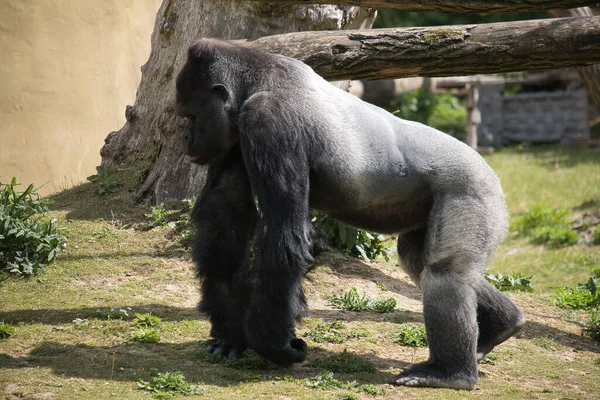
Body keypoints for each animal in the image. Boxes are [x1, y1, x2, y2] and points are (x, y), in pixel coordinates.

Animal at [175, 38, 524, 390]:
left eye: (192, 116)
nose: (185, 138)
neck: (257, 83)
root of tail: (487, 168)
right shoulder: (235, 136)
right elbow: (225, 216)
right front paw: (229, 331)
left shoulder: (268, 121)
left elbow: (284, 237)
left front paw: (272, 344)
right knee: (420, 260)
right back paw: (502, 326)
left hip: (473, 187)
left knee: (445, 273)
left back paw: (451, 372)